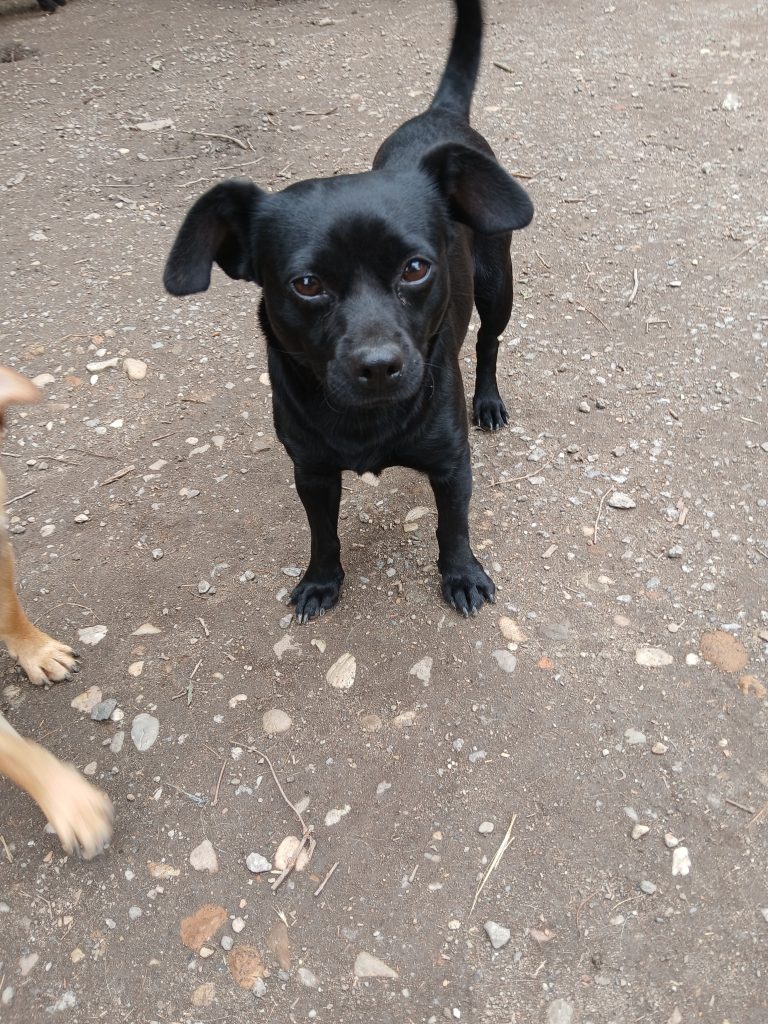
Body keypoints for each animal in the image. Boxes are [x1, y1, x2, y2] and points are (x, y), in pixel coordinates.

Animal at [164, 0, 533, 622]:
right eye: (307, 284)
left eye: (415, 268)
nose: (379, 366)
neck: (366, 420)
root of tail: (438, 115)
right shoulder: (311, 471)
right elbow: (322, 533)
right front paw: (320, 580)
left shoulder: (451, 465)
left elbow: (453, 528)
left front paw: (461, 574)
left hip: (496, 286)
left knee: (488, 342)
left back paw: (488, 400)